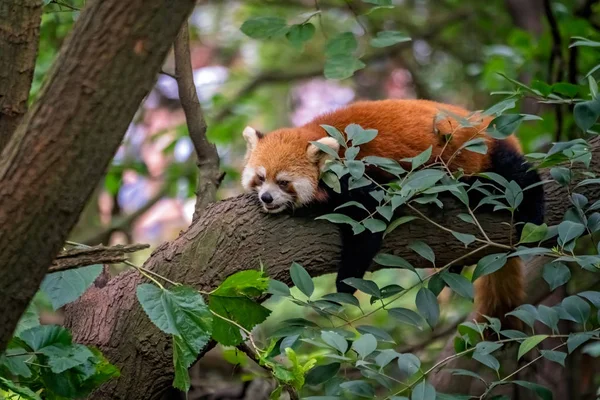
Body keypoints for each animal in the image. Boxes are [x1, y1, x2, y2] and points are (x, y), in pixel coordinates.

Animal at [241, 99, 548, 328]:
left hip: (481, 152)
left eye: (283, 182)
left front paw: (343, 289)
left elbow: (367, 226)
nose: (267, 198)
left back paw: (532, 213)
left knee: (515, 176)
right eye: (261, 178)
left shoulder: (359, 175)